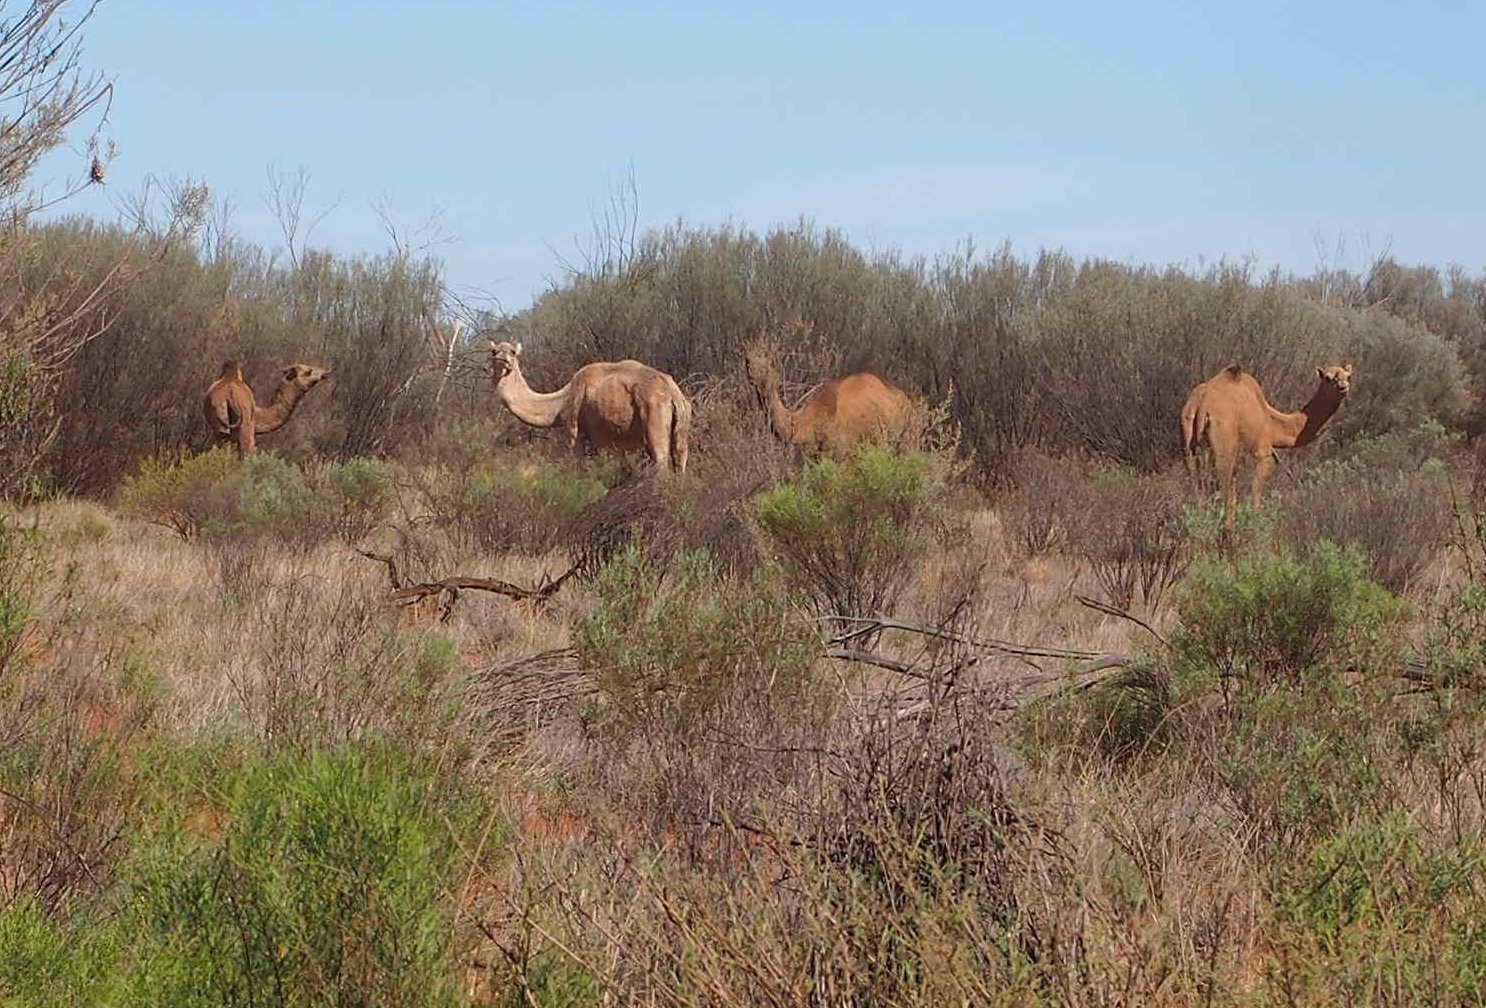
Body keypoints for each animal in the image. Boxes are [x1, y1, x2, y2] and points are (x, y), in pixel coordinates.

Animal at [488, 340, 691, 474]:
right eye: (493, 351)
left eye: (513, 352)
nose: (502, 360)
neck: (562, 402)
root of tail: (674, 394)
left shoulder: (576, 432)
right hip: (681, 423)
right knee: (680, 458)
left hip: (653, 412)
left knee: (661, 459)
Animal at [743, 348, 922, 453]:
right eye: (749, 365)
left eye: (765, 367)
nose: (749, 363)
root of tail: (907, 402)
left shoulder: (844, 451)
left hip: (910, 433)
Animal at [1181, 363, 1352, 508]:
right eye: (1328, 378)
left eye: (1348, 376)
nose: (1343, 387)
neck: (1271, 422)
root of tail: (1202, 404)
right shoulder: (1264, 455)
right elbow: (1255, 497)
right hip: (1223, 442)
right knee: (1225, 494)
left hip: (1187, 435)